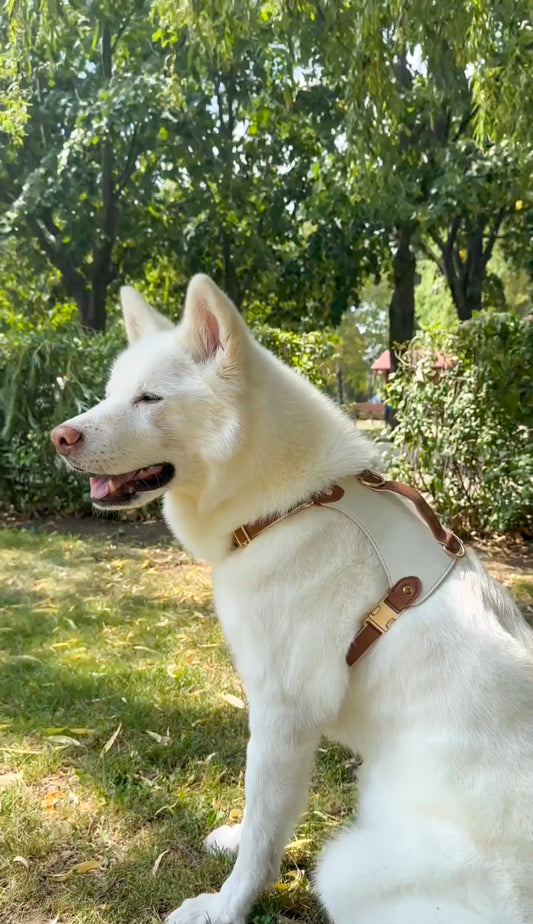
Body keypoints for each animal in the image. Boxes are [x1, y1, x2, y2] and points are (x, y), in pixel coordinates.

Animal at [51, 275, 533, 924]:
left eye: (149, 398)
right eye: (109, 396)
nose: (60, 436)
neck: (293, 504)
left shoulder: (283, 713)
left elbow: (265, 824)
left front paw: (226, 905)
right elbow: (263, 819)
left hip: (348, 868)